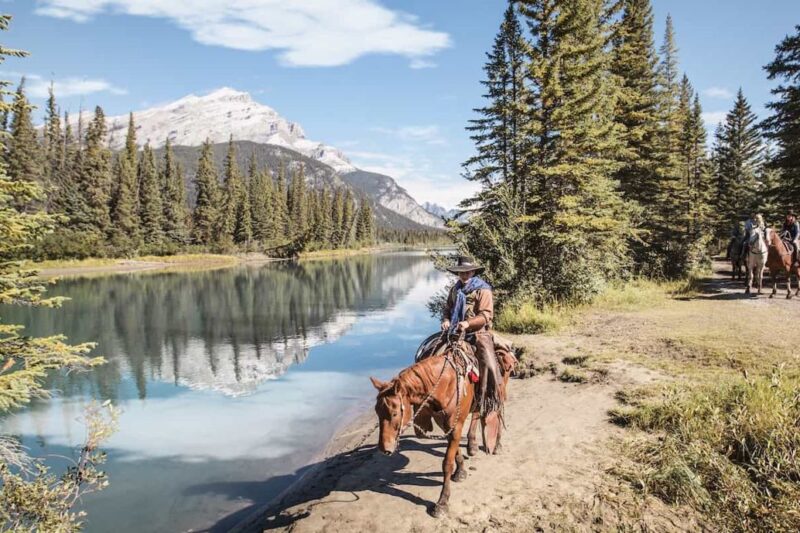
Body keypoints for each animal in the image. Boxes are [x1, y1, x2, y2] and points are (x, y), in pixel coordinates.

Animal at [372, 342, 478, 516]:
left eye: (394, 413)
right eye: (377, 412)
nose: (383, 448)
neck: (446, 384)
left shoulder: (456, 426)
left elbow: (447, 463)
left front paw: (442, 502)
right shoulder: (446, 425)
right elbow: (455, 451)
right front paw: (460, 472)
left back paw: (485, 444)